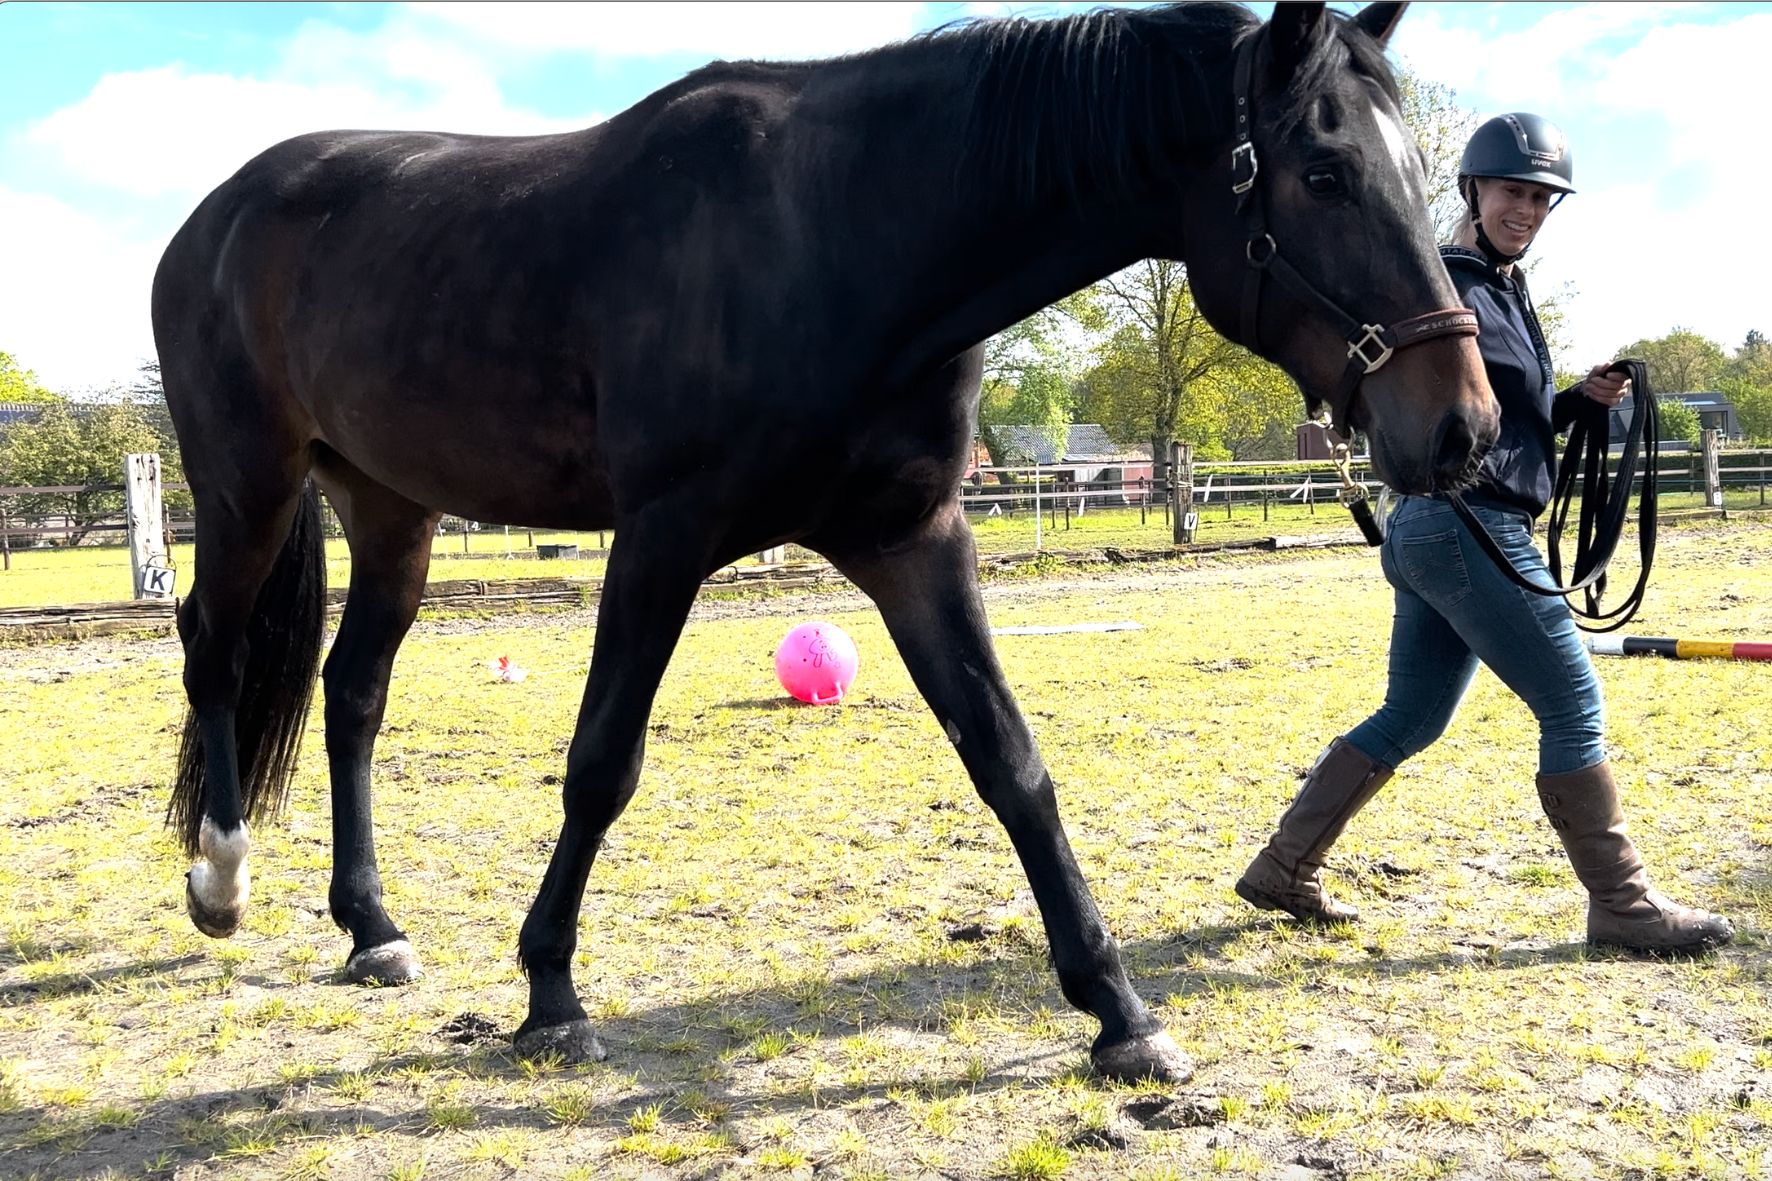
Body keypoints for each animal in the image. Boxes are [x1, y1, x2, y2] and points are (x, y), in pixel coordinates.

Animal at [152, 0, 1495, 1078]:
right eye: (1321, 174)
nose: (1462, 426)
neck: (838, 235)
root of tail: (215, 216)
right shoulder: (661, 539)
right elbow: (601, 763)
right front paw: (550, 993)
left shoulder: (911, 541)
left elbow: (1010, 762)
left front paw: (1118, 1010)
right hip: (246, 486)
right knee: (212, 652)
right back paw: (219, 879)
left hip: (391, 511)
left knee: (352, 692)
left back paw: (371, 927)